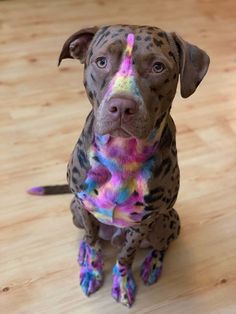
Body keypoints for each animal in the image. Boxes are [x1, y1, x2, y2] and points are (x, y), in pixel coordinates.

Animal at [28, 23, 210, 306]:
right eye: (101, 61)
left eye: (158, 67)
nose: (122, 106)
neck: (121, 153)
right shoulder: (84, 207)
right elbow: (92, 240)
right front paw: (92, 269)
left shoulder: (142, 223)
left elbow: (126, 255)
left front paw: (122, 283)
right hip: (74, 209)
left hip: (167, 220)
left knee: (161, 245)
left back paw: (153, 264)